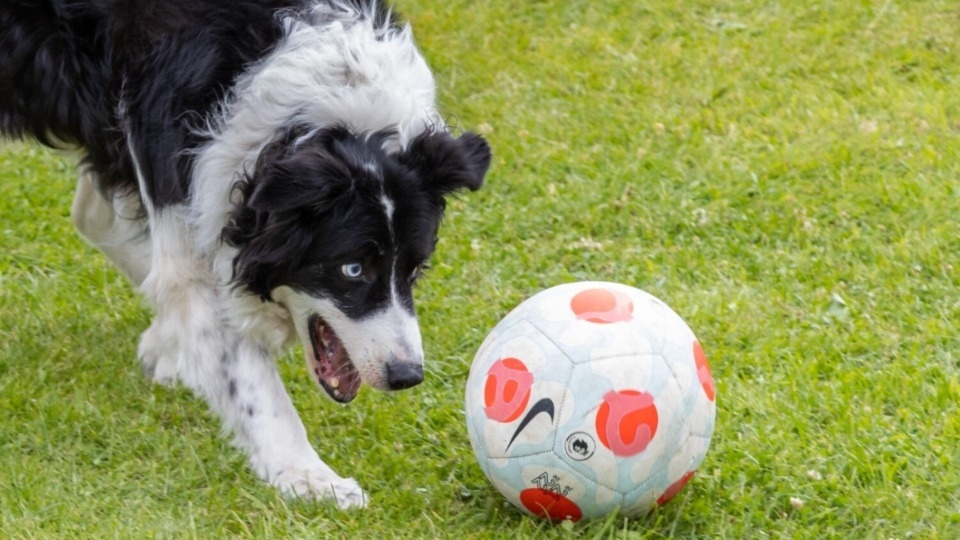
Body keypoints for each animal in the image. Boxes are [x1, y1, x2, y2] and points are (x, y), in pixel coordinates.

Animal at [0, 0, 492, 508]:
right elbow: (238, 359)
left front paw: (167, 346)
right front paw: (311, 477)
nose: (406, 376)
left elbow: (107, 226)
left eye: (415, 269)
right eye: (352, 269)